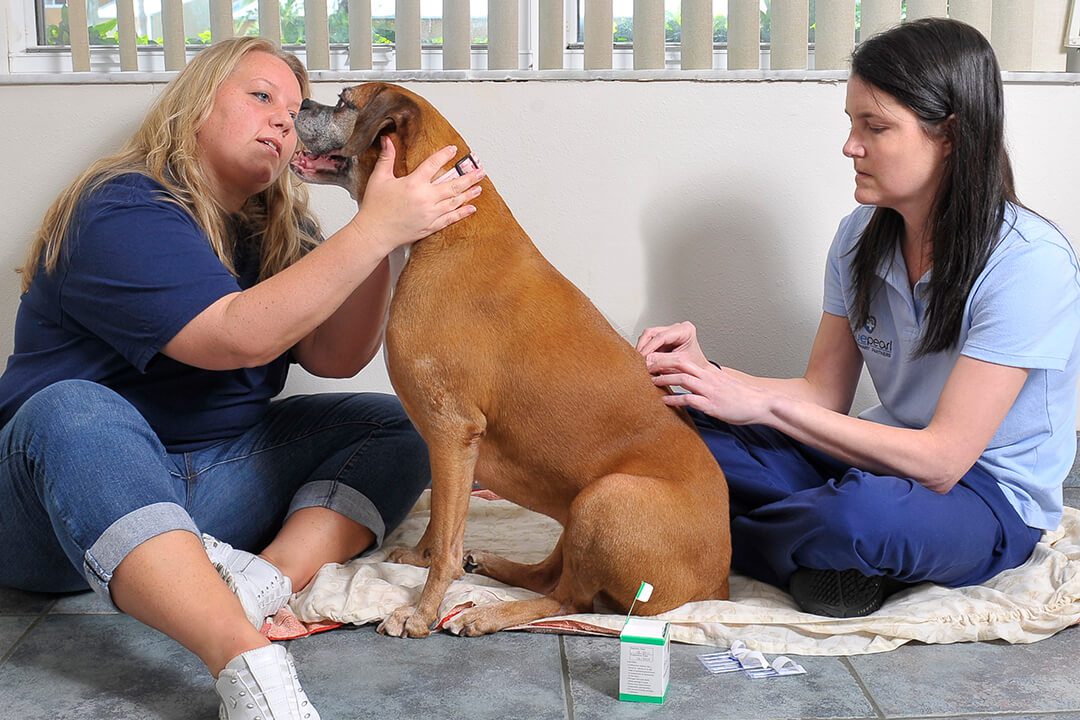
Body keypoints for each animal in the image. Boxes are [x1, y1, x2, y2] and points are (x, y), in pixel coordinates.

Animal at [291, 84, 730, 634]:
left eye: (345, 102)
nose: (301, 104)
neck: (443, 225)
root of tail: (721, 583)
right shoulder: (447, 443)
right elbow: (443, 521)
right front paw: (417, 561)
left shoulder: (452, 431)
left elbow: (447, 546)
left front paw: (420, 612)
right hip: (577, 511)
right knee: (547, 576)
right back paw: (494, 568)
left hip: (605, 497)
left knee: (568, 600)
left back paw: (489, 614)